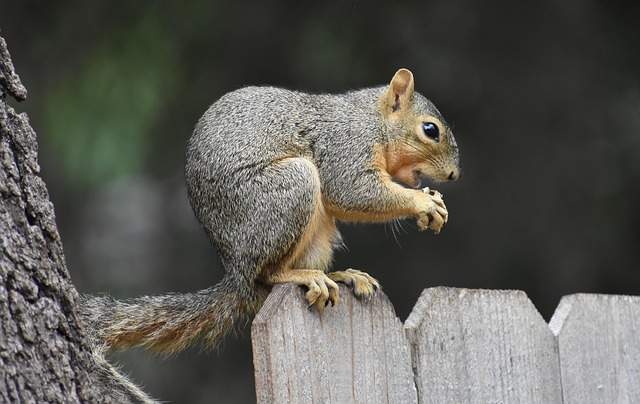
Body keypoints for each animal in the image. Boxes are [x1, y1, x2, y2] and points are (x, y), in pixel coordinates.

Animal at [79, 68, 460, 381]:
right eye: (430, 130)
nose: (455, 175)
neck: (373, 121)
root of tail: (236, 272)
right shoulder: (345, 149)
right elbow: (351, 192)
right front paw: (423, 202)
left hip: (316, 234)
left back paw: (342, 275)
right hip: (287, 193)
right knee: (268, 275)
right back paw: (302, 276)